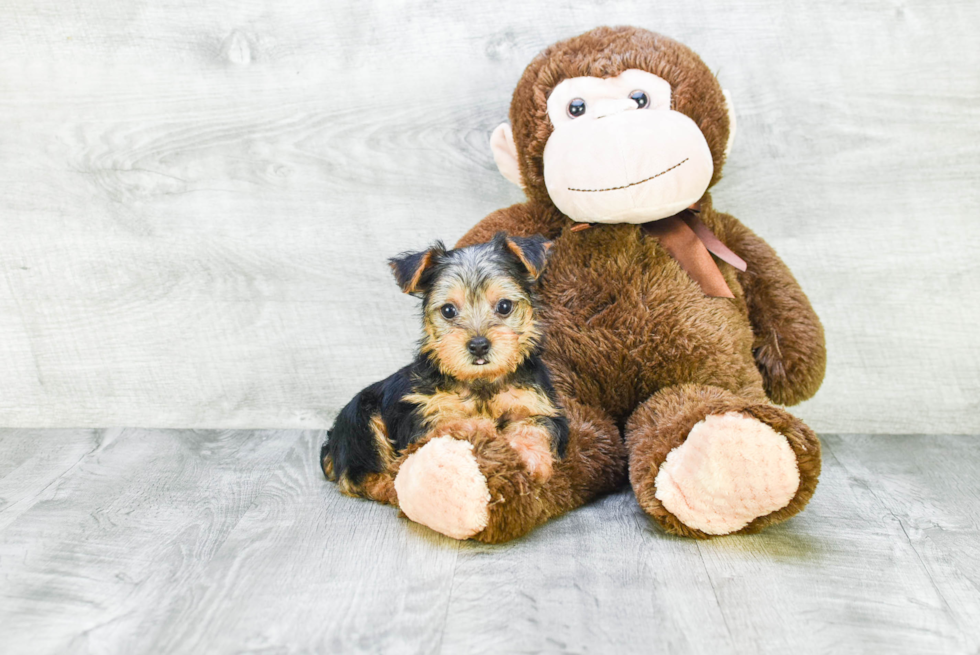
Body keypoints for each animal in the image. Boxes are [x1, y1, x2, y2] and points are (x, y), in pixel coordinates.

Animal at [322, 233, 568, 500]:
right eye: (448, 310)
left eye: (504, 306)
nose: (479, 346)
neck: (481, 380)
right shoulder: (423, 416)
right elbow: (450, 424)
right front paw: (483, 427)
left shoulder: (538, 405)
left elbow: (534, 428)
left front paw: (529, 460)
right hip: (360, 423)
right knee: (363, 475)